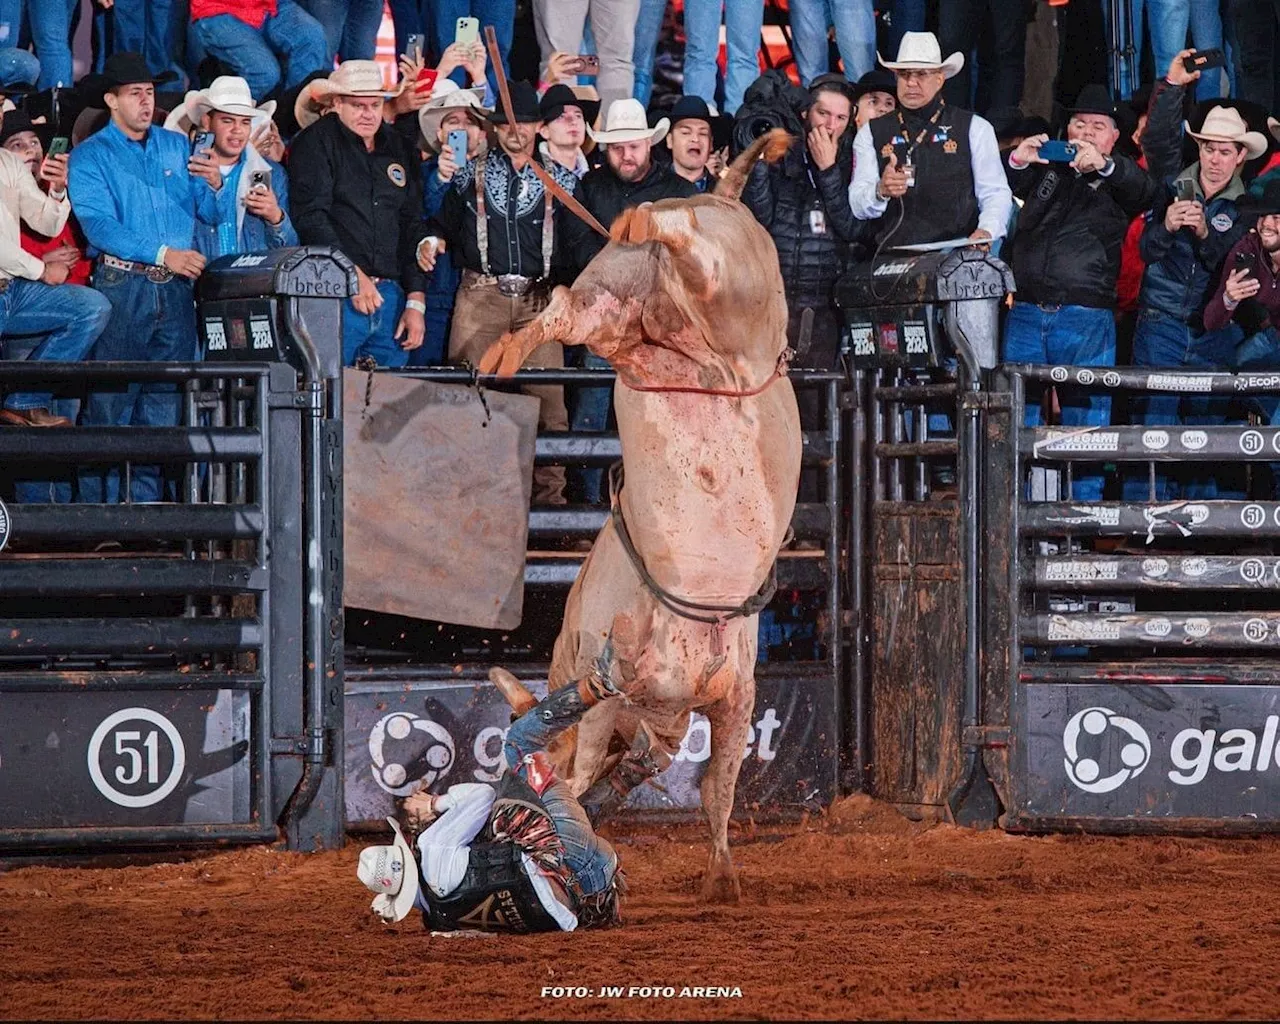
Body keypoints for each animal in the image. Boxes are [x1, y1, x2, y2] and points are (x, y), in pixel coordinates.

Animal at [481, 129, 798, 906]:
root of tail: (721, 198)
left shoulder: (731, 698)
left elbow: (713, 789)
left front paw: (721, 876)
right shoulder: (640, 699)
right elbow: (645, 772)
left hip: (673, 291)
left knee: (614, 278)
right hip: (675, 296)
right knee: (632, 272)